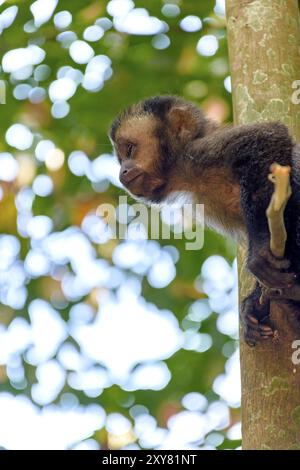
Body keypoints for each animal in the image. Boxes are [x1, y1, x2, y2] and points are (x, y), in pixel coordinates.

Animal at [109, 95, 300, 346]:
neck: (187, 176)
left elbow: (269, 137)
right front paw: (253, 304)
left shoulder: (202, 151)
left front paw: (261, 248)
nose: (122, 171)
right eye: (121, 158)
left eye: (130, 149)